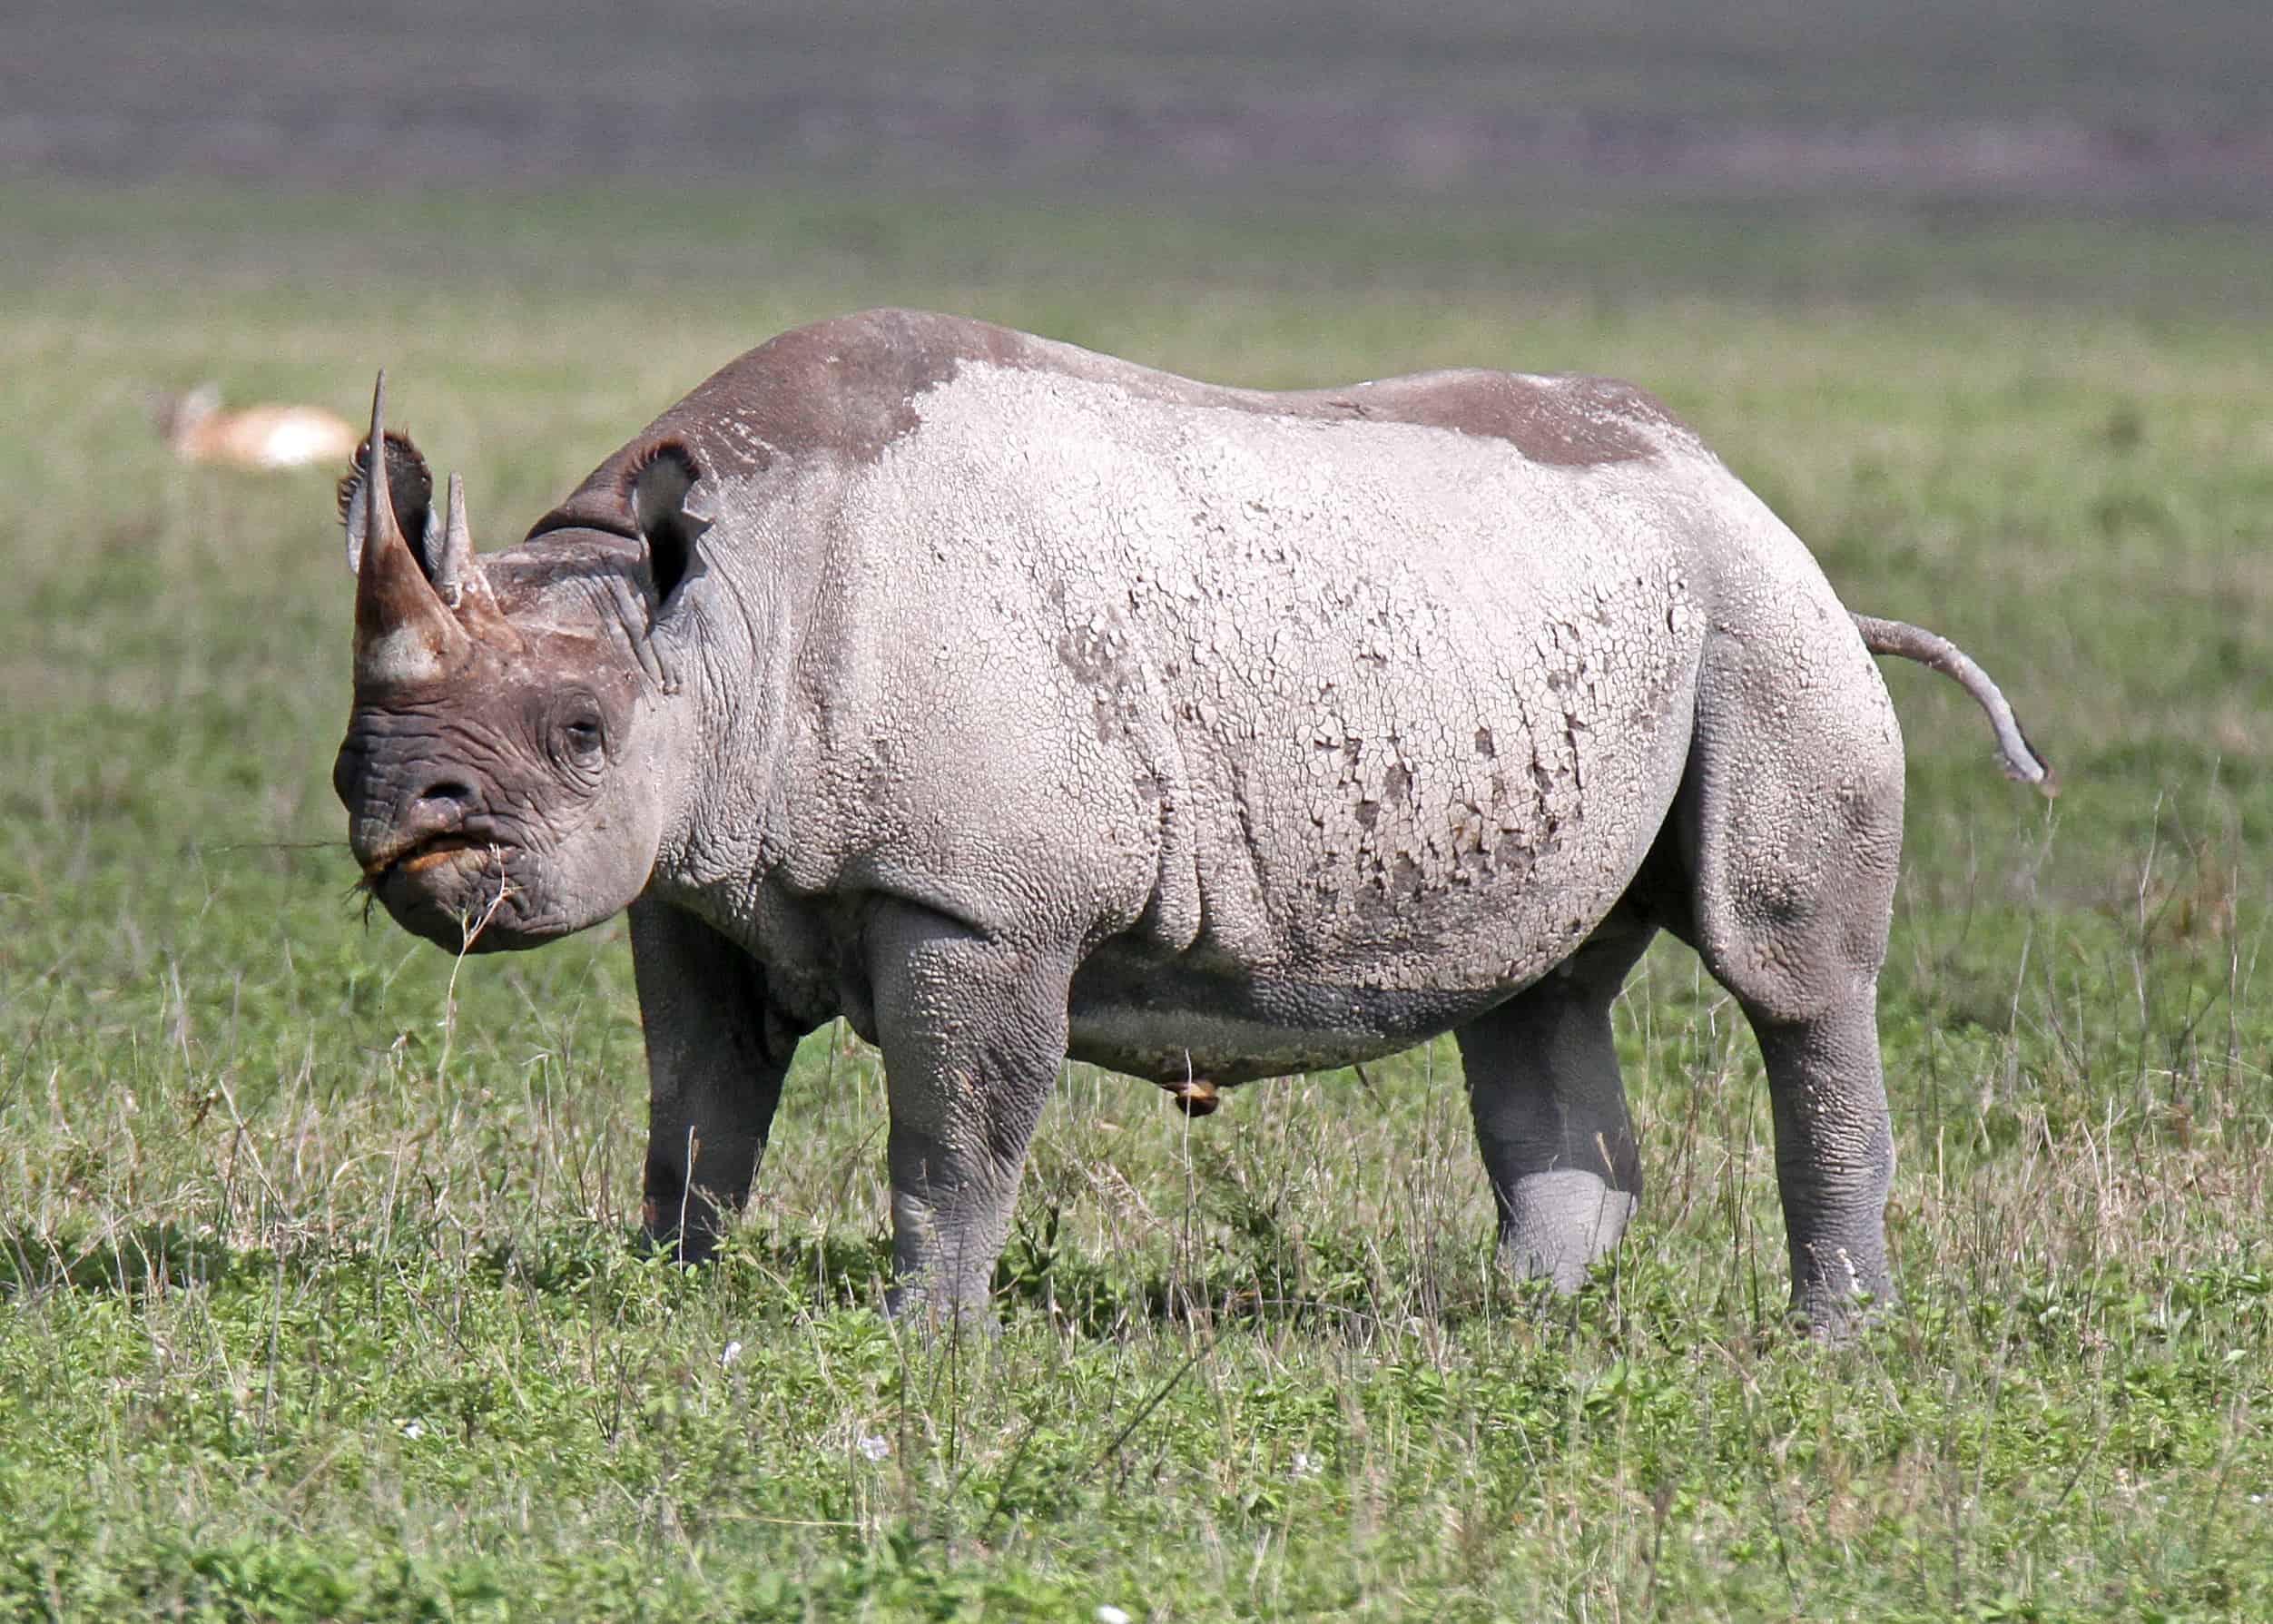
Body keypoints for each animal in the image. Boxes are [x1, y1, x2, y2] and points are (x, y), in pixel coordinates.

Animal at [332, 309, 2053, 1329]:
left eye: (578, 732)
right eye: (352, 740)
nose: (399, 811)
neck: (715, 617)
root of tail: (1756, 505)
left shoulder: (980, 900)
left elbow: (953, 1131)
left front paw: (923, 1334)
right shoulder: (695, 877)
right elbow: (695, 1104)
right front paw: (667, 1290)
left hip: (1760, 624)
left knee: (1788, 977)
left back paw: (1829, 1338)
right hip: (1579, 628)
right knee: (1537, 989)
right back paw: (1503, 1331)